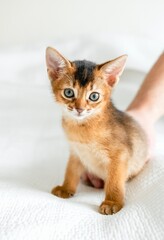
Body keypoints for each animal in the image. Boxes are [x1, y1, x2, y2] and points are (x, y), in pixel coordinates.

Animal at [45, 46, 148, 214]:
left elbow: (114, 181)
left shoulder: (120, 155)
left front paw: (112, 202)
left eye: (94, 96)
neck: (82, 128)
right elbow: (71, 171)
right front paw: (66, 188)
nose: (79, 109)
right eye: (69, 92)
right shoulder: (76, 152)